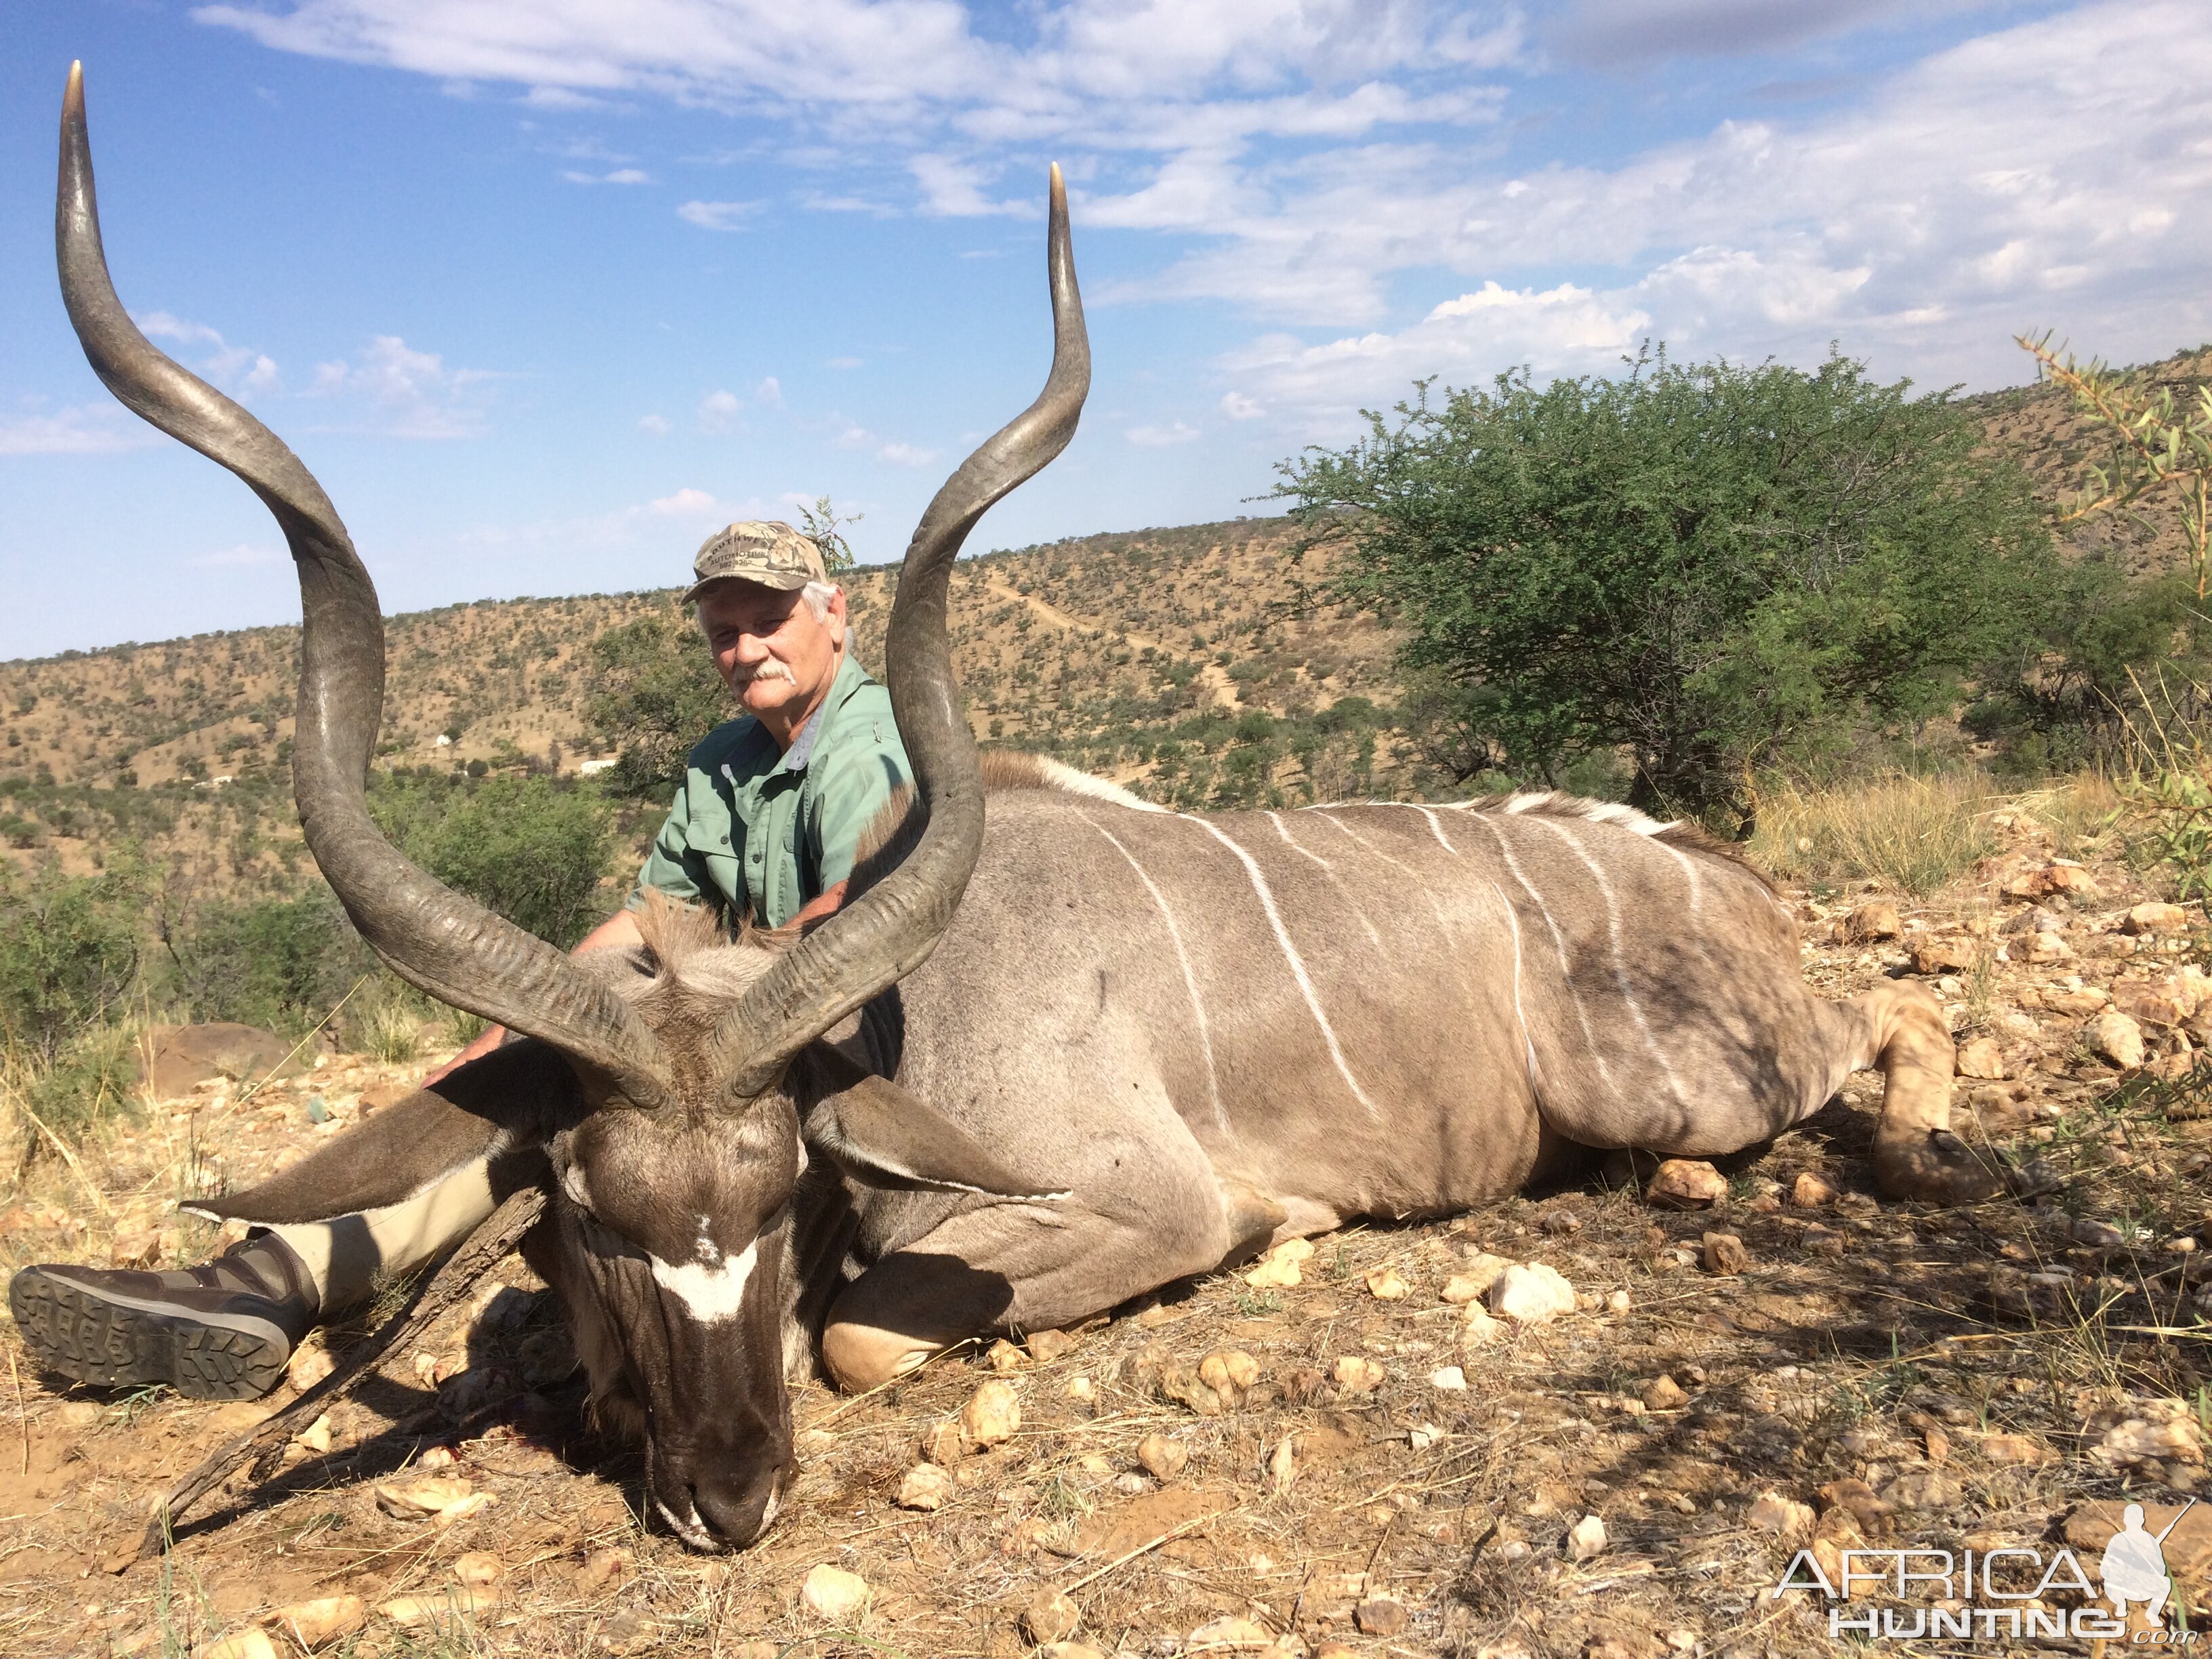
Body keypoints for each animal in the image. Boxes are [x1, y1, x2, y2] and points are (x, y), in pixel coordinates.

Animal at [52, 64, 1999, 1557]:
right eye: (598, 1216)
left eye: (782, 1196)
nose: (727, 1500)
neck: (907, 1022)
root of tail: (1715, 876)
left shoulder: (1135, 1209)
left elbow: (861, 1340)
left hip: (1666, 1077)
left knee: (1881, 1023)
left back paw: (1911, 1146)